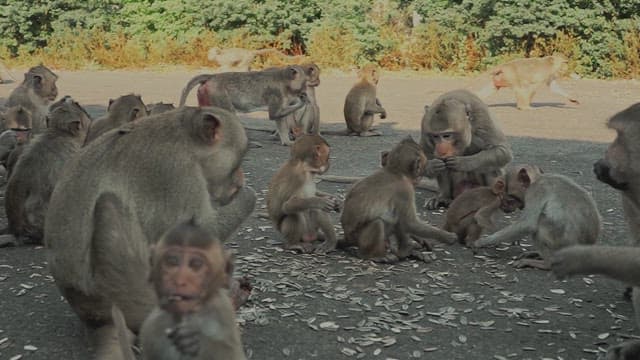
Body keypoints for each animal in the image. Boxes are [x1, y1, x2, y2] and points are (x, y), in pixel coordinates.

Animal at [114, 219, 246, 360]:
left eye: (196, 264)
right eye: (172, 261)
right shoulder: (151, 327)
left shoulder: (222, 312)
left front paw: (196, 342)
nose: (179, 280)